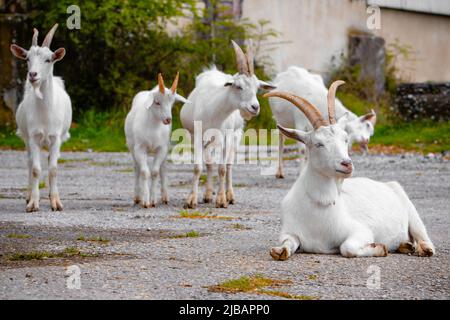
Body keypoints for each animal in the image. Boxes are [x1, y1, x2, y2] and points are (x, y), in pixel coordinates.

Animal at [10, 23, 72, 211]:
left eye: (48, 59)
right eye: (27, 59)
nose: (33, 75)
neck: (45, 114)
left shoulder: (56, 138)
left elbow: (53, 168)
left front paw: (56, 203)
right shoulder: (33, 137)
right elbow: (36, 169)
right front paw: (33, 203)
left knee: (51, 160)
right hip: (26, 139)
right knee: (30, 163)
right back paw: (29, 195)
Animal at [124, 72, 187, 208]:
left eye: (172, 102)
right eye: (157, 102)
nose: (168, 119)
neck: (153, 127)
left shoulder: (161, 148)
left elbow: (155, 172)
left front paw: (153, 200)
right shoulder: (140, 148)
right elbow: (144, 172)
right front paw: (145, 201)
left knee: (163, 168)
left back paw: (165, 197)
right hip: (132, 147)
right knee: (136, 168)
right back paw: (137, 197)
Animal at [181, 40, 276, 210]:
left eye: (257, 87)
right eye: (238, 86)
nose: (255, 107)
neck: (214, 110)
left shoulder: (227, 136)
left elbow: (223, 168)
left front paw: (221, 200)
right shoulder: (196, 135)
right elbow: (198, 167)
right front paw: (191, 200)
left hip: (236, 136)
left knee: (229, 165)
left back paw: (230, 196)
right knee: (210, 163)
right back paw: (207, 195)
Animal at [266, 80, 434, 260]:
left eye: (345, 139)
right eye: (319, 144)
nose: (347, 164)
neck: (319, 205)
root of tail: (388, 184)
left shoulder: (360, 231)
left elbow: (346, 248)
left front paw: (380, 248)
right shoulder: (290, 231)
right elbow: (285, 245)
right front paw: (279, 251)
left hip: (411, 210)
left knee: (422, 236)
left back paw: (423, 249)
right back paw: (406, 245)